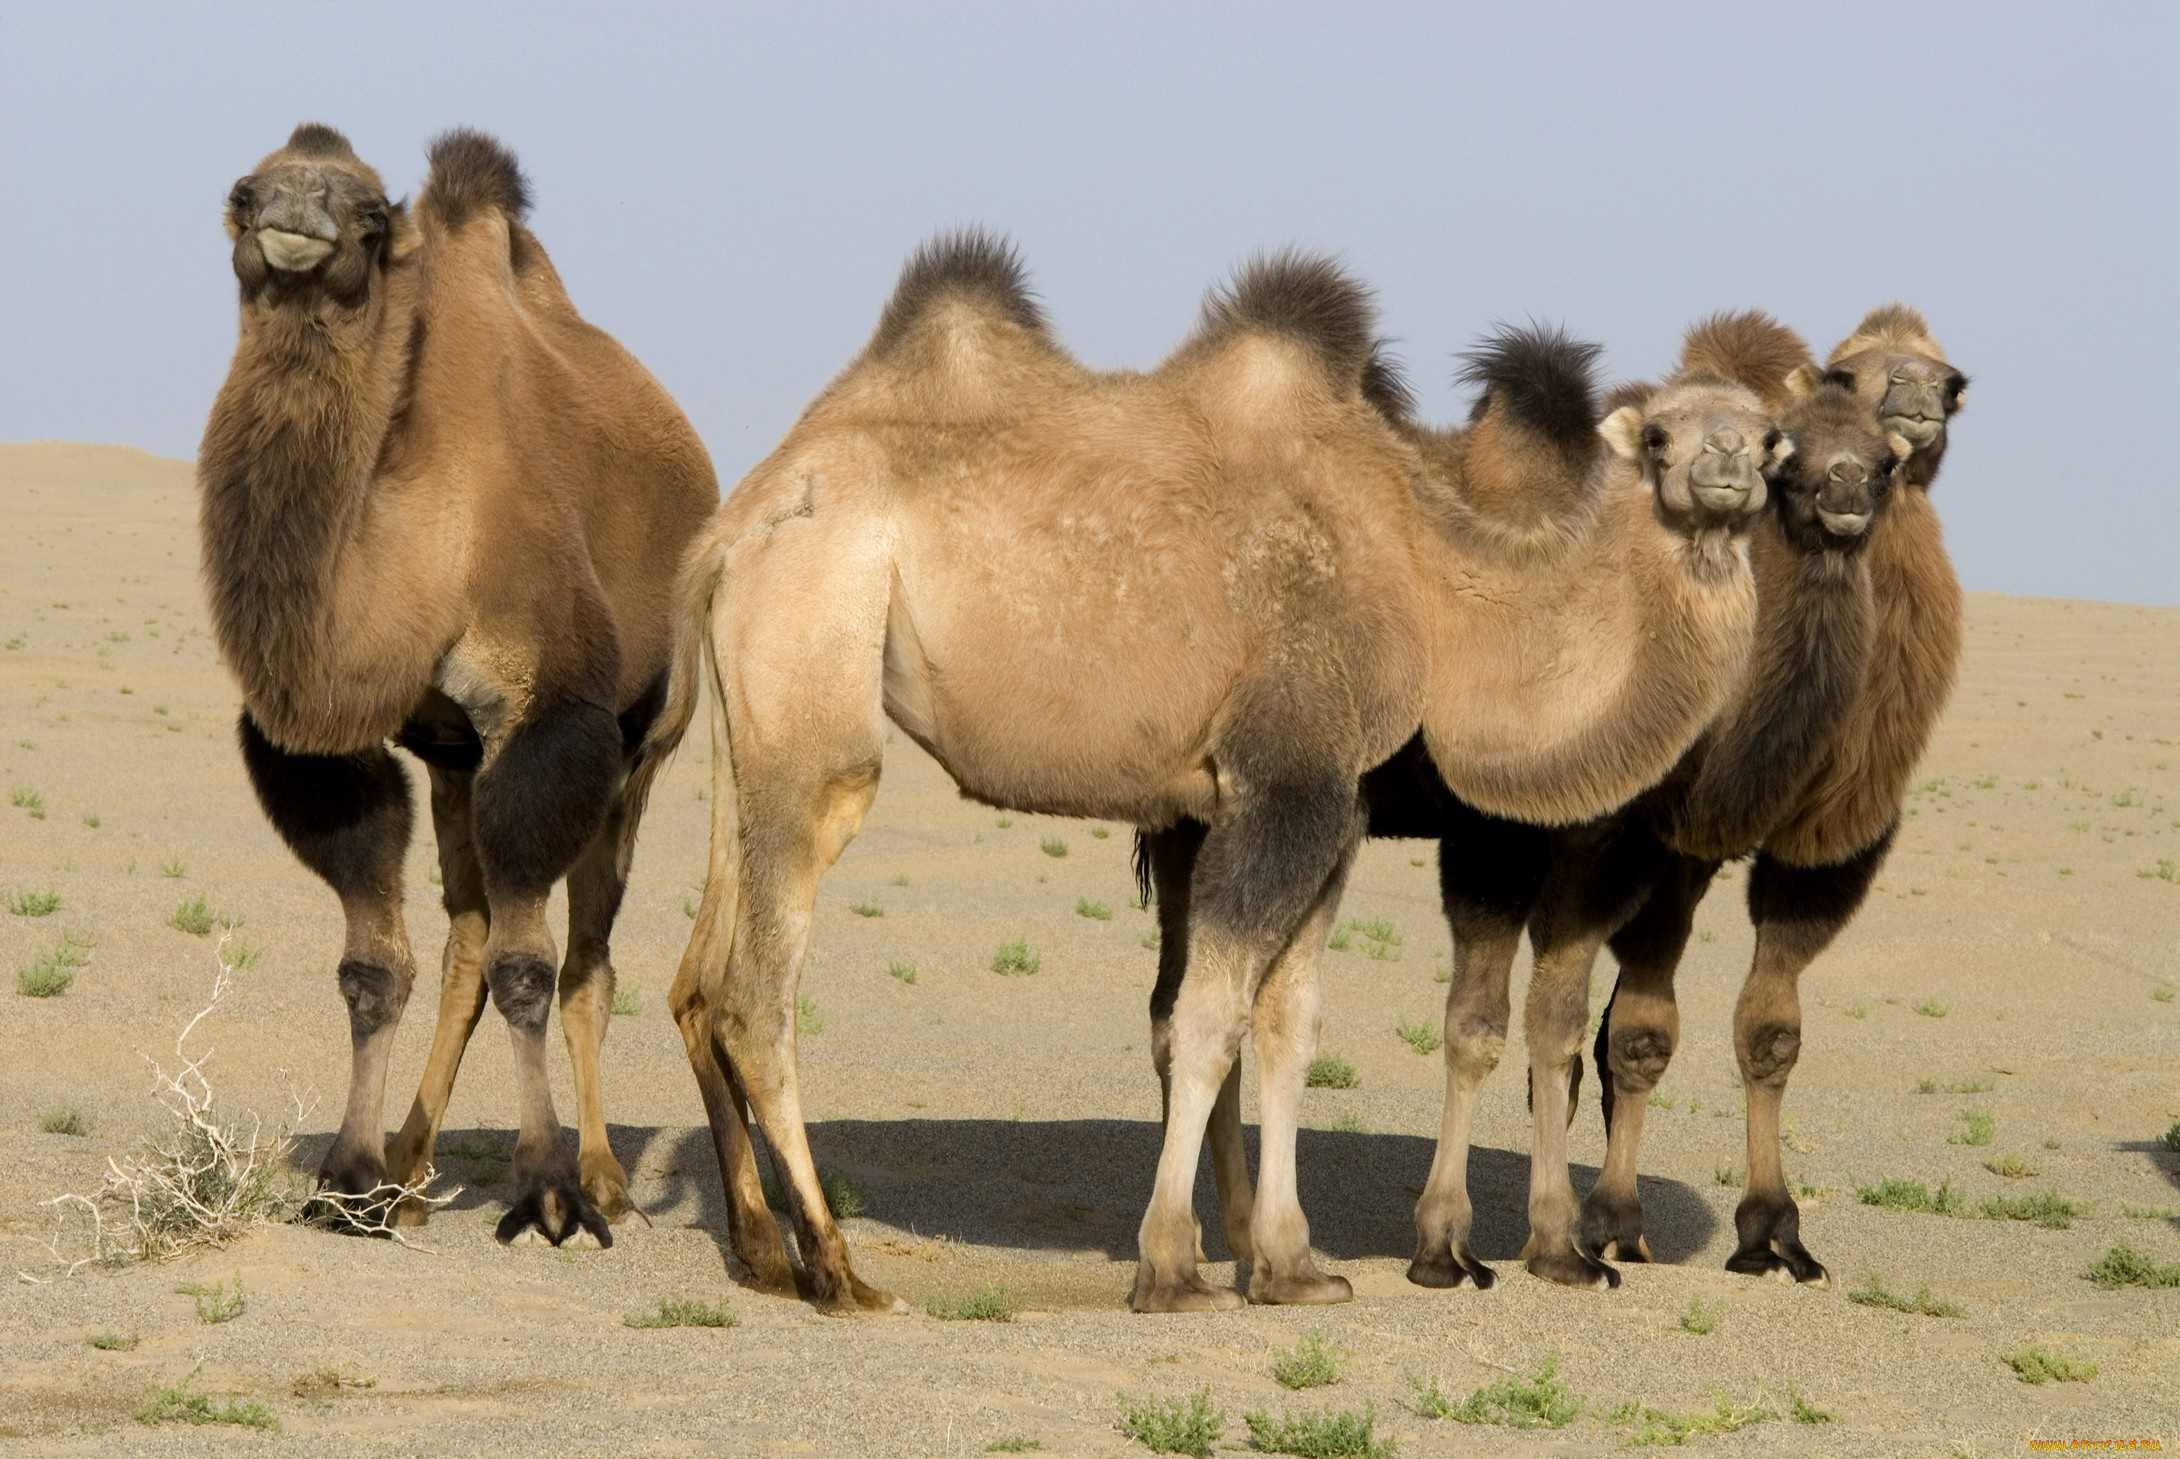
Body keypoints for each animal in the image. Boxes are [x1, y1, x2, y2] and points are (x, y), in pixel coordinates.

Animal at [202, 122, 715, 1238]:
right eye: (244, 191)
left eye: (369, 214)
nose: (295, 213)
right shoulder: (343, 737)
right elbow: (374, 966)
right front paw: (350, 1180)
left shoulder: (548, 715)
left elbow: (532, 966)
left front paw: (548, 1189)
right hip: (452, 760)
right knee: (463, 949)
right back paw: (409, 1166)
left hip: (646, 739)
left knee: (586, 958)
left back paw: (605, 1173)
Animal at [654, 236, 1778, 1308]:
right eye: (1663, 435)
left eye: (1769, 435)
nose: (1730, 466)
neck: (1432, 583)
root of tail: (742, 512)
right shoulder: (1283, 780)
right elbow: (1204, 1016)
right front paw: (1172, 1268)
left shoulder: (1333, 803)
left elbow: (1288, 1025)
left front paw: (1290, 1264)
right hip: (819, 639)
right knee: (760, 987)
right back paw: (837, 1271)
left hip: (755, 699)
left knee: (703, 972)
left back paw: (763, 1253)